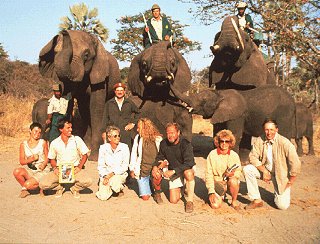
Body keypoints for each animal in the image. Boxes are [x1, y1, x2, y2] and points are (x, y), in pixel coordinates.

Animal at [38, 30, 120, 160]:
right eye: (55, 53)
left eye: (86, 55)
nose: (64, 31)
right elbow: (69, 104)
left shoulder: (100, 76)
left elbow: (96, 107)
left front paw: (94, 158)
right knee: (84, 110)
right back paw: (86, 144)